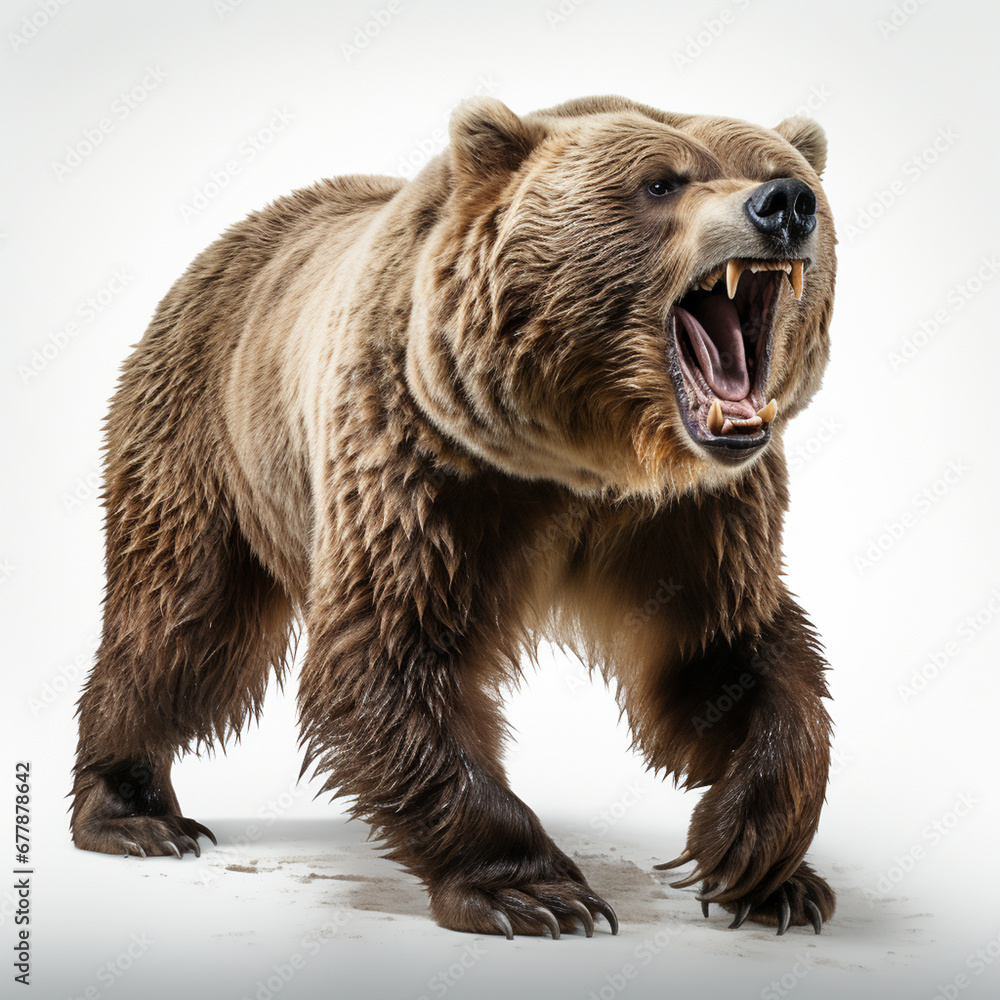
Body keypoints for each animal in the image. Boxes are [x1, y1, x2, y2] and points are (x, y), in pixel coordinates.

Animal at [71, 94, 836, 939]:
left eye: (777, 169)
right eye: (661, 182)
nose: (786, 205)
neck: (591, 454)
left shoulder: (695, 512)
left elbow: (722, 654)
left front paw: (759, 861)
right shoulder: (425, 463)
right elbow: (392, 653)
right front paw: (536, 891)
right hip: (204, 441)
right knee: (181, 624)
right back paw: (132, 813)